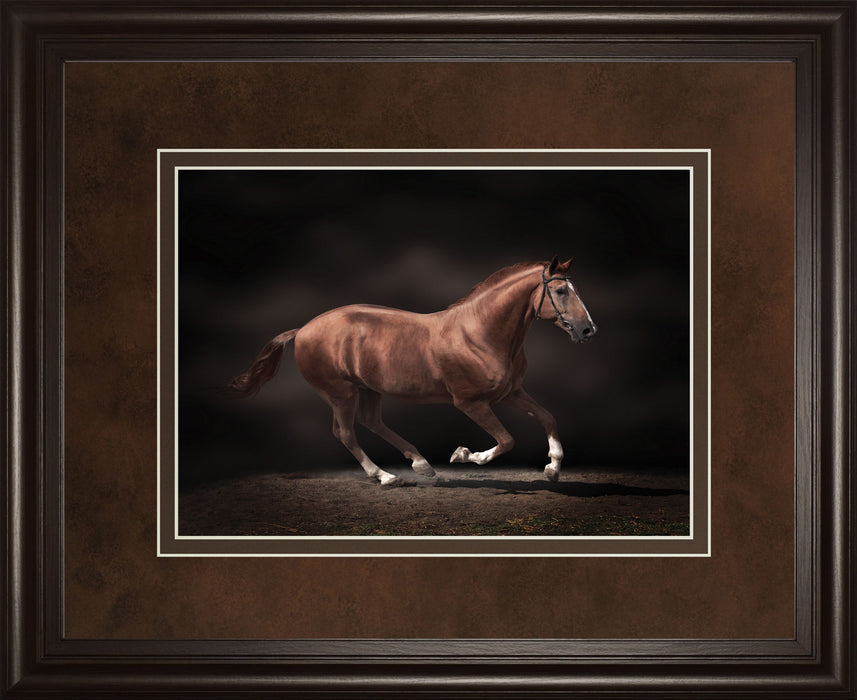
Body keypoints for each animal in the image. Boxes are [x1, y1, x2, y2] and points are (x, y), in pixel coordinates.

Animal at [227, 256, 596, 486]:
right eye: (560, 291)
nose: (588, 329)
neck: (480, 333)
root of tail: (302, 329)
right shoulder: (470, 403)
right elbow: (506, 440)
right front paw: (464, 455)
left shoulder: (511, 392)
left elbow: (548, 417)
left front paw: (552, 468)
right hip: (340, 393)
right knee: (345, 432)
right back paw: (385, 476)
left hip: (369, 389)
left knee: (371, 422)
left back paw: (420, 464)